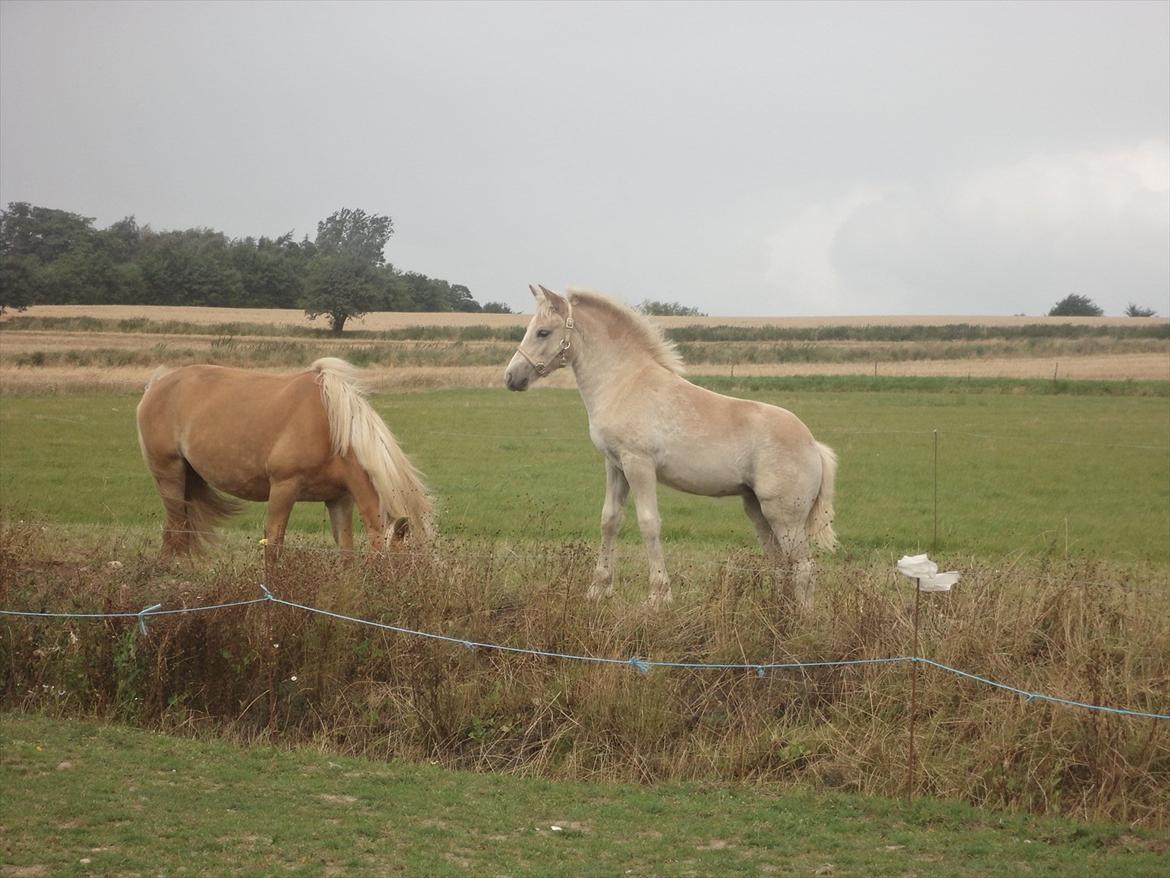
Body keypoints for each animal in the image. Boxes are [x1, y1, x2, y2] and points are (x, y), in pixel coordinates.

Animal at [136, 355, 430, 564]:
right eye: (402, 563)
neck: (332, 430)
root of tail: (157, 384)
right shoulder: (282, 489)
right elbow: (274, 546)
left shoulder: (339, 499)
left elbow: (345, 551)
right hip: (169, 473)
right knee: (176, 525)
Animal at [503, 289, 833, 613]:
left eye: (543, 332)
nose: (511, 377)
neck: (624, 383)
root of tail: (814, 446)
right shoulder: (615, 466)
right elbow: (610, 521)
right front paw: (597, 590)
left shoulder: (638, 465)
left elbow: (649, 523)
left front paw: (657, 597)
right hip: (758, 511)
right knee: (779, 562)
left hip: (785, 517)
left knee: (804, 567)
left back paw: (801, 620)